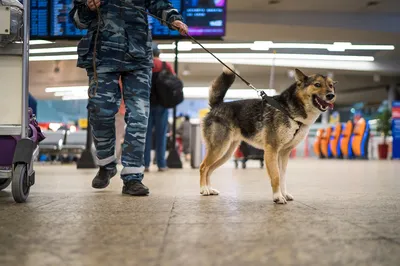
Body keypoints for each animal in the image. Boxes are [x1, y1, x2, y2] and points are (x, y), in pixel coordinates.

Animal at [199, 66, 334, 204]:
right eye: (317, 84)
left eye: (331, 85)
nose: (331, 95)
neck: (288, 110)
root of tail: (217, 106)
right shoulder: (271, 150)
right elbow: (276, 176)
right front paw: (278, 197)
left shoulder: (284, 153)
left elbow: (282, 177)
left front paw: (284, 194)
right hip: (219, 149)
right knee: (203, 167)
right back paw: (204, 189)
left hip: (226, 153)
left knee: (209, 169)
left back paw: (209, 189)